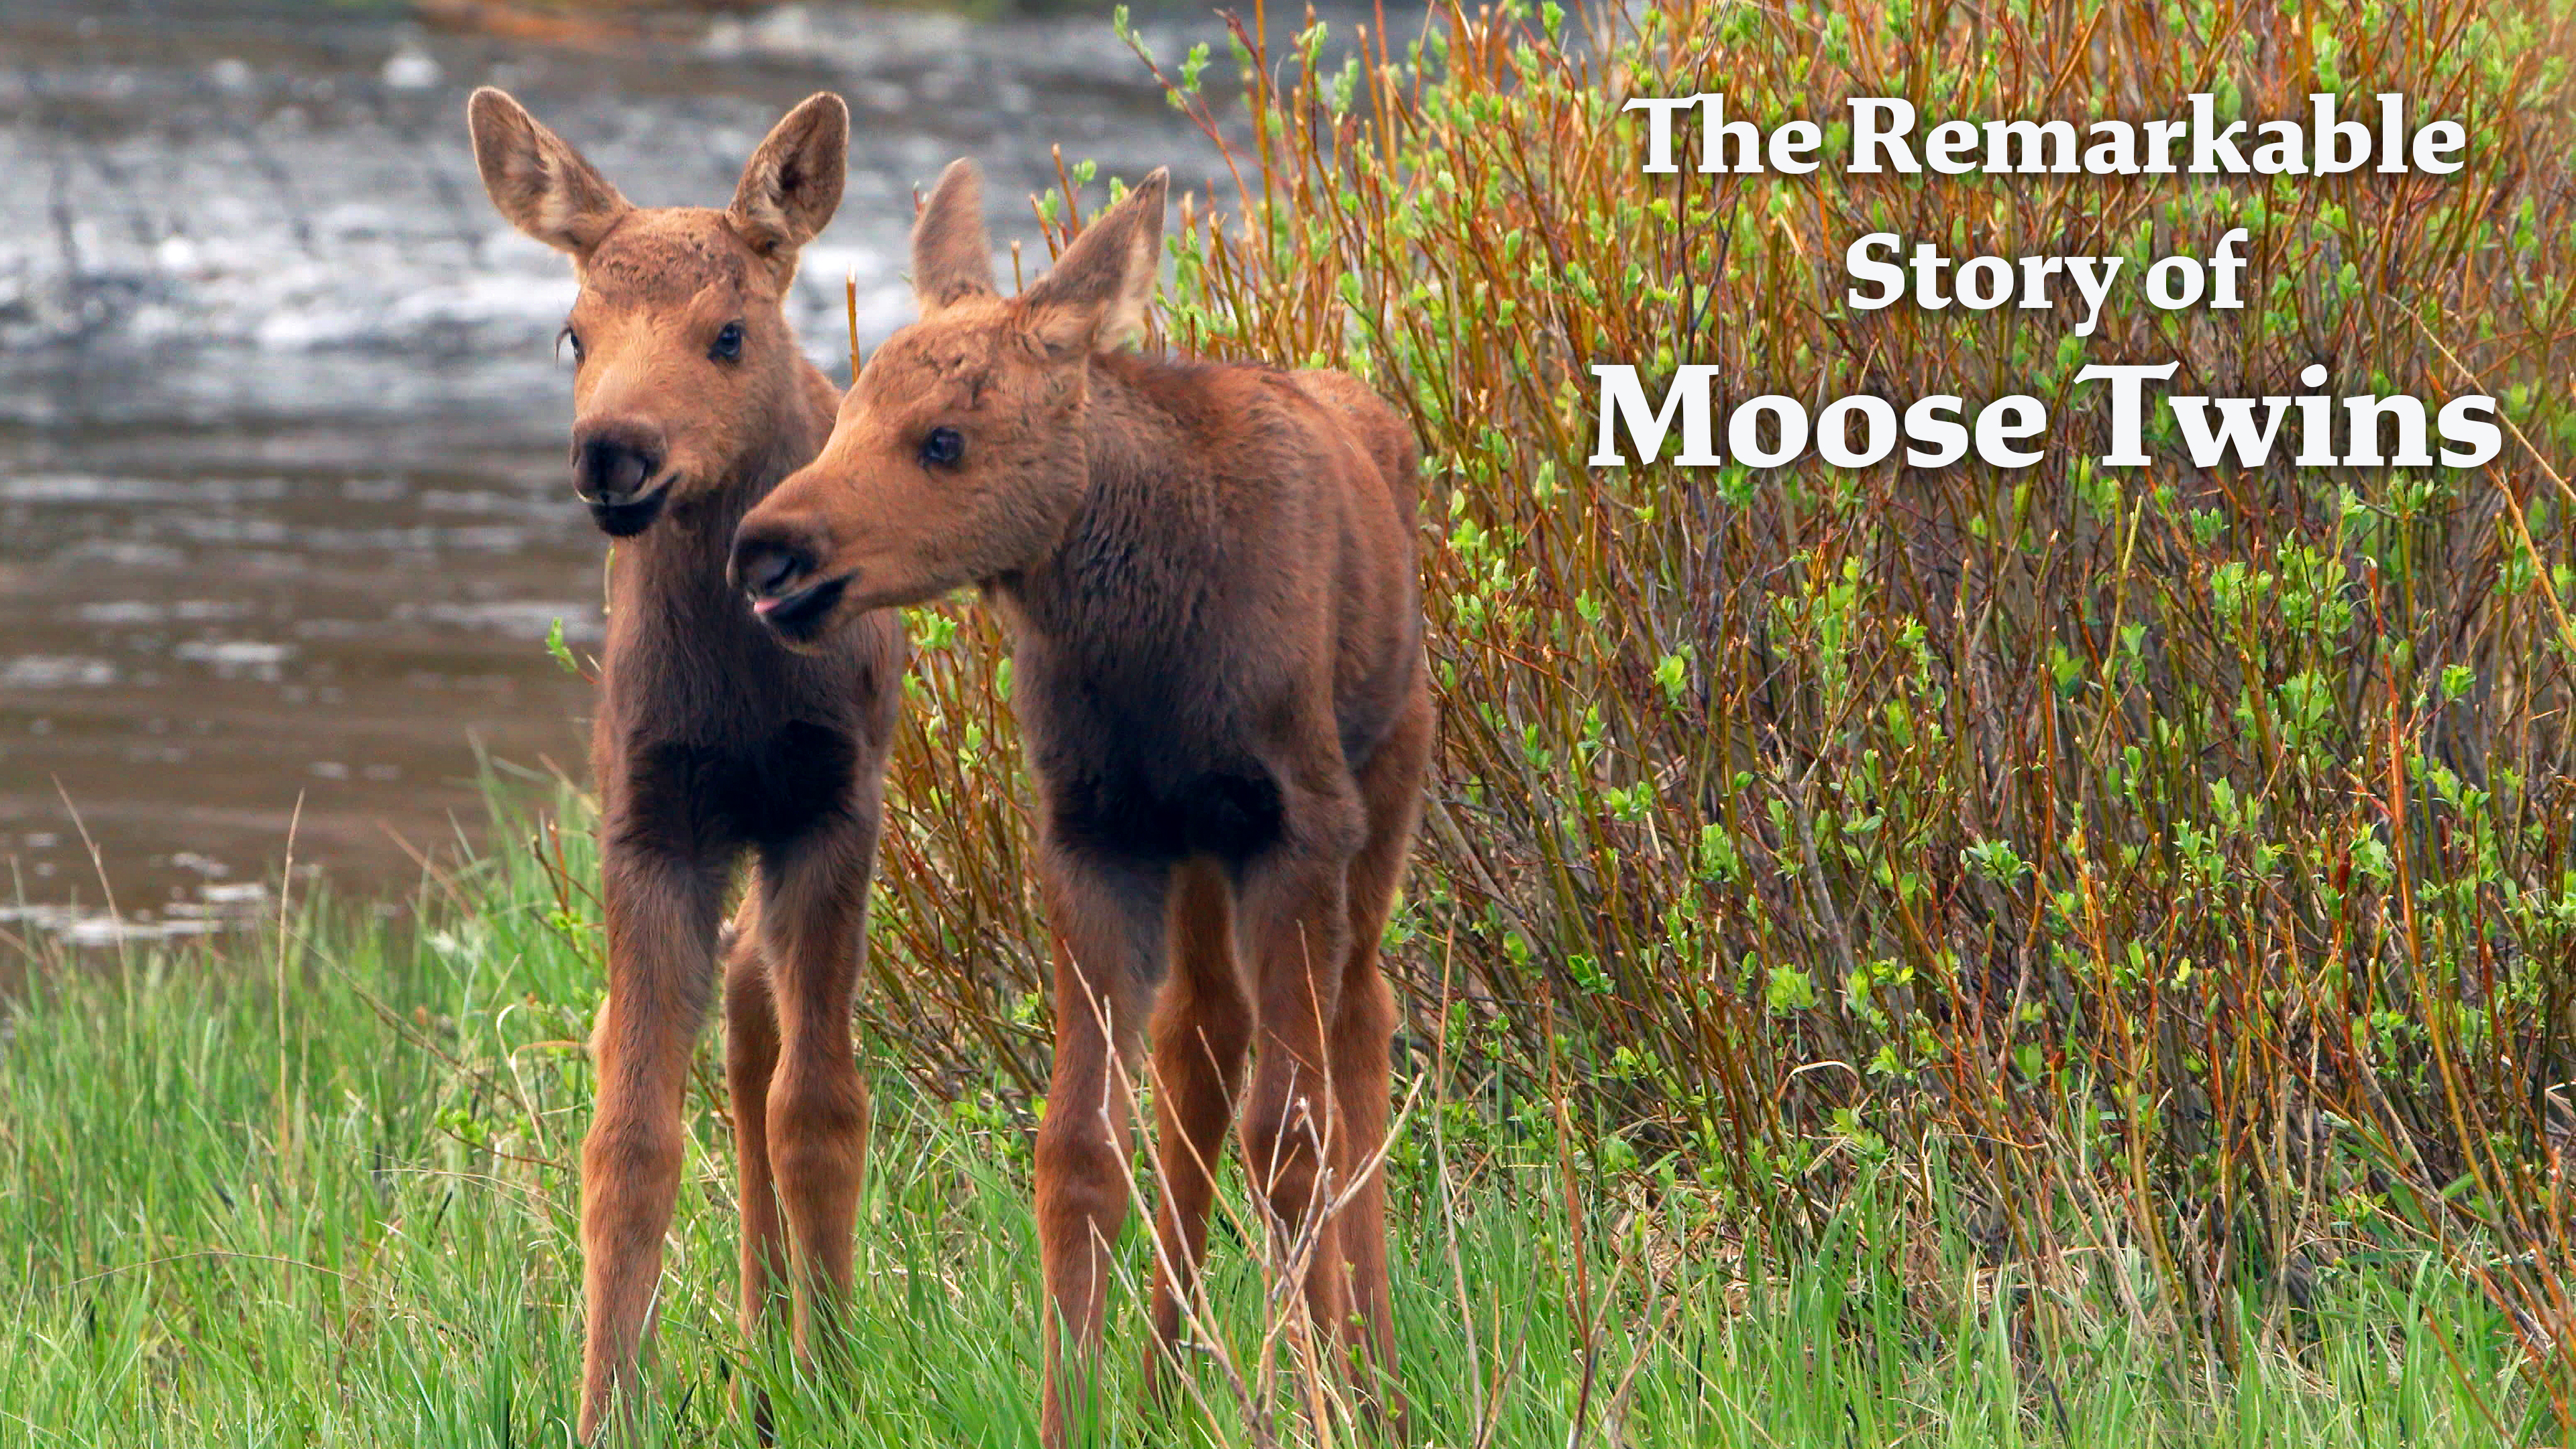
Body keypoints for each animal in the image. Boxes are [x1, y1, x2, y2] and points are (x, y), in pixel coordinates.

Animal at [464, 88, 905, 1441]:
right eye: (574, 334)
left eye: (725, 333)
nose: (612, 450)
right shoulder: (651, 821)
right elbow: (629, 1141)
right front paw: (609, 1400)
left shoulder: (832, 810)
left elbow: (821, 1112)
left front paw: (840, 1379)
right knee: (717, 1025)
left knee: (762, 1031)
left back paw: (786, 1347)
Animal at [726, 159, 1430, 1442]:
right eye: (844, 413)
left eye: (945, 439)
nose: (771, 551)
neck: (1149, 648)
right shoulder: (1093, 834)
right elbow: (1081, 1146)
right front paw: (1082, 1406)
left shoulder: (1296, 829)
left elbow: (1290, 1140)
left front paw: (1314, 1401)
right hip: (1196, 852)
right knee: (1201, 1041)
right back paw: (1164, 1383)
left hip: (1385, 781)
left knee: (1361, 1026)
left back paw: (1373, 1375)